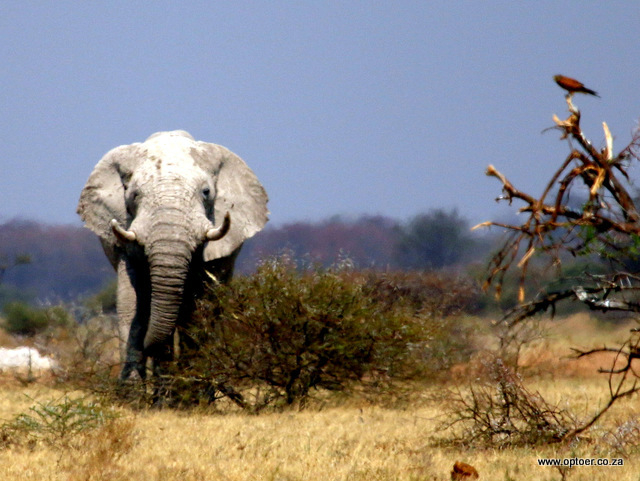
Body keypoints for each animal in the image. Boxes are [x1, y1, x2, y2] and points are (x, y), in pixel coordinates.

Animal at [77, 130, 268, 380]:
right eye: (134, 195)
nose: (149, 348)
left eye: (206, 193)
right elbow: (132, 302)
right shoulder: (125, 237)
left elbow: (200, 306)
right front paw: (133, 389)